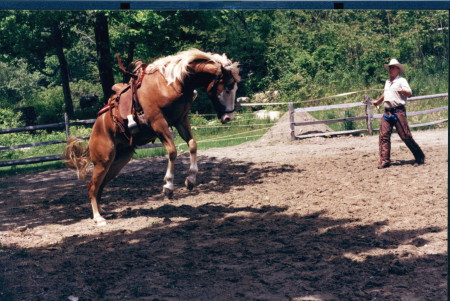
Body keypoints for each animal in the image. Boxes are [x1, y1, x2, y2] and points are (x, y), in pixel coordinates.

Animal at [65, 48, 241, 224]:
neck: (170, 84)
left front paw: (190, 180)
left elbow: (192, 144)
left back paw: (102, 212)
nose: (228, 118)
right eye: (228, 87)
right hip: (103, 161)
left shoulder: (181, 120)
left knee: (99, 186)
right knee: (92, 187)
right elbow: (172, 151)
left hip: (118, 161)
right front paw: (168, 187)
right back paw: (98, 218)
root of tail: (96, 128)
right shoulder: (158, 122)